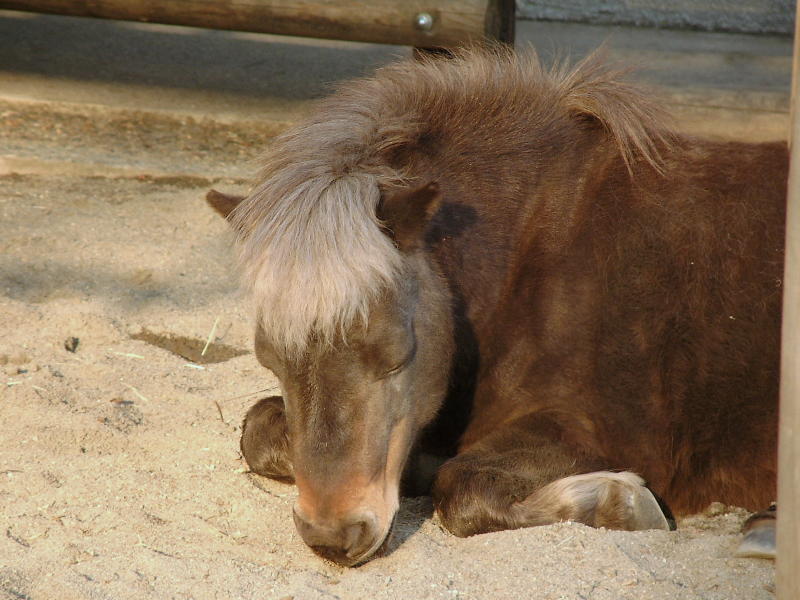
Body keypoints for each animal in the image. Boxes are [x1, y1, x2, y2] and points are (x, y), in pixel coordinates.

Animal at [205, 48, 780, 568]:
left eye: (396, 354)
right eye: (270, 361)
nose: (333, 537)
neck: (537, 255)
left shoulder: (593, 430)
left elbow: (463, 487)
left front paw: (622, 503)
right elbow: (257, 428)